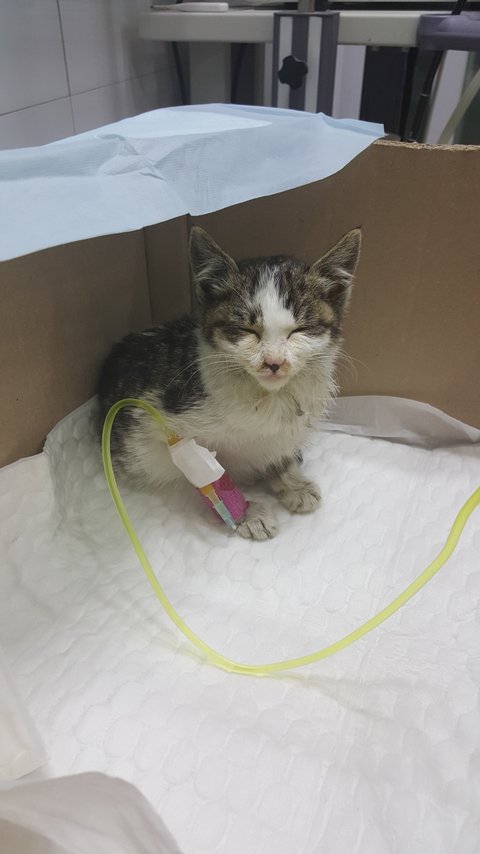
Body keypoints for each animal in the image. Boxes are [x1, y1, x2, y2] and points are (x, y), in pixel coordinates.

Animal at [97, 226, 361, 540]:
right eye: (247, 330)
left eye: (300, 330)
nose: (274, 362)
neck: (265, 396)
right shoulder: (156, 426)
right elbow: (202, 475)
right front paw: (246, 513)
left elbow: (277, 446)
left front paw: (290, 480)